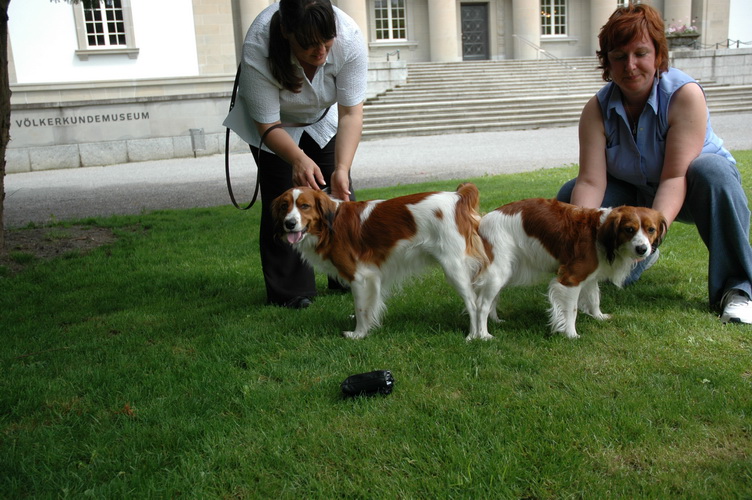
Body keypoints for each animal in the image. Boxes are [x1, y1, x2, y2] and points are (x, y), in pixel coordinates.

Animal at [270, 182, 488, 338]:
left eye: (304, 206)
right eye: (284, 207)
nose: (289, 224)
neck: (328, 227)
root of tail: (458, 198)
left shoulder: (359, 277)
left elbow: (360, 307)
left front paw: (358, 334)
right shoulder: (373, 276)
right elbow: (369, 306)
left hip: (453, 267)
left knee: (474, 302)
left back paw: (474, 335)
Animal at [472, 199, 668, 340]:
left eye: (651, 229)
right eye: (629, 230)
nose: (642, 249)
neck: (599, 233)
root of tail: (483, 220)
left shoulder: (590, 278)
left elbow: (595, 298)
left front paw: (598, 316)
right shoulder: (571, 279)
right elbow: (571, 310)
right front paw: (571, 334)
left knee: (492, 300)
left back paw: (496, 320)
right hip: (499, 272)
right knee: (482, 304)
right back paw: (483, 335)